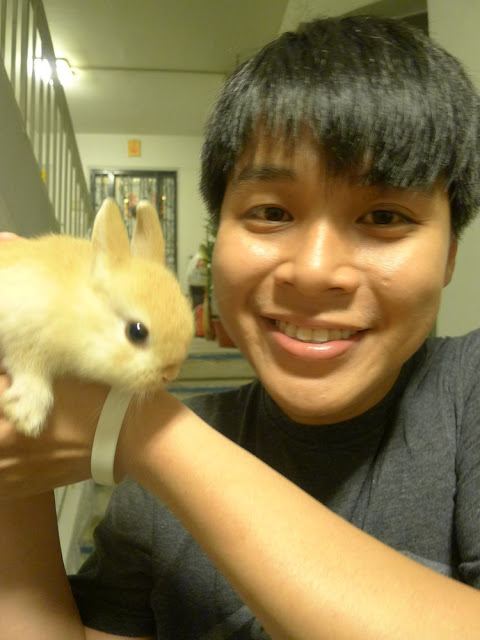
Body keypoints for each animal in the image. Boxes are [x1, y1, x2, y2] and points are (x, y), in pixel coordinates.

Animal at [0, 198, 195, 438]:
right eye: (137, 332)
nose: (169, 374)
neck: (77, 308)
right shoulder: (23, 333)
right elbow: (29, 367)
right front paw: (27, 417)